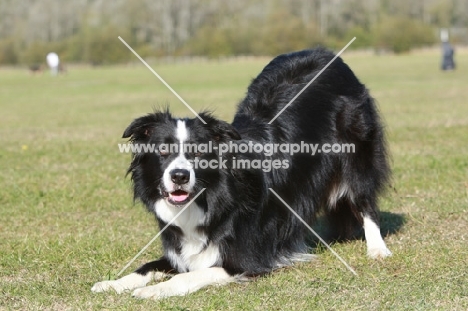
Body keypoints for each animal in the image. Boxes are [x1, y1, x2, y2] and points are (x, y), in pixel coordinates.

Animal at [91, 48, 392, 300]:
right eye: (163, 151)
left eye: (198, 153)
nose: (179, 176)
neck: (211, 197)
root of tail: (328, 53)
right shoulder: (182, 252)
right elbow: (147, 267)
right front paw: (111, 283)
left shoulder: (245, 259)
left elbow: (191, 276)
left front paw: (153, 291)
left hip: (357, 151)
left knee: (364, 200)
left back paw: (377, 249)